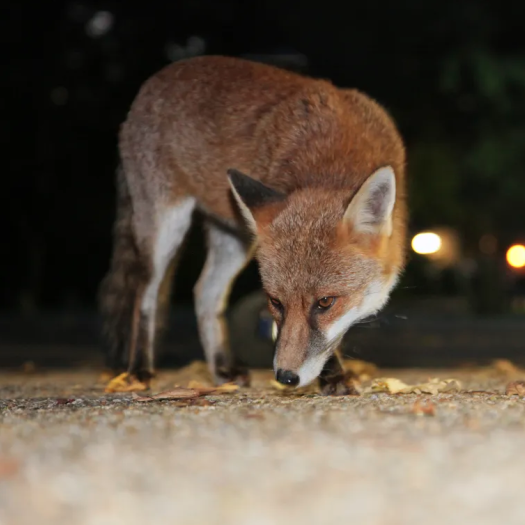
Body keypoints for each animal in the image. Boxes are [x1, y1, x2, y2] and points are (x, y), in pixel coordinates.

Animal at [99, 55, 410, 396]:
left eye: (326, 302)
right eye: (275, 302)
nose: (286, 377)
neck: (333, 158)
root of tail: (155, 80)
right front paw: (333, 377)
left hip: (234, 240)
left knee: (204, 291)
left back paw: (222, 368)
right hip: (165, 228)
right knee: (145, 295)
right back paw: (140, 370)